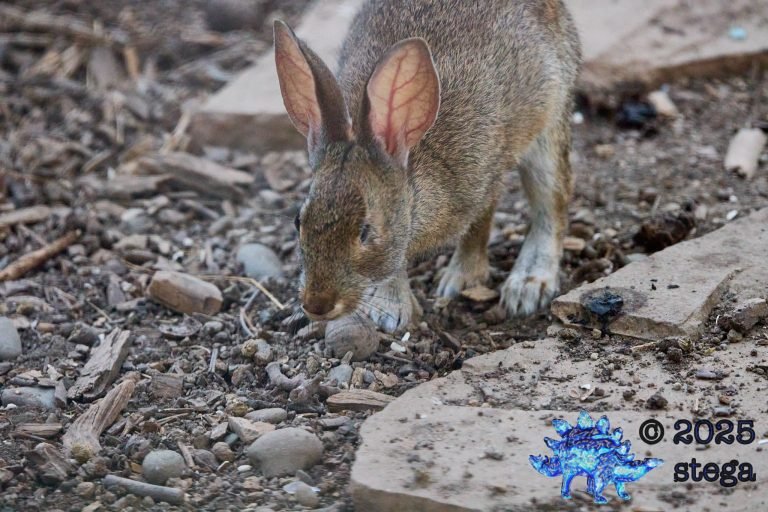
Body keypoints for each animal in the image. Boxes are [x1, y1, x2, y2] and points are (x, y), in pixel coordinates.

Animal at [274, 0, 580, 333]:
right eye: (298, 222)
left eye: (366, 231)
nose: (317, 305)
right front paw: (392, 308)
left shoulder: (485, 171)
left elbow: (479, 223)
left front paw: (458, 279)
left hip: (549, 119)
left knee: (551, 200)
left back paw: (528, 285)